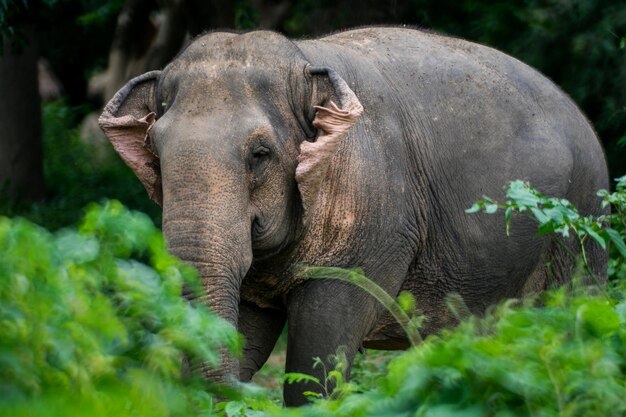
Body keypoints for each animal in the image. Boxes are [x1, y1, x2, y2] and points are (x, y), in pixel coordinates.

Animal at [97, 26, 604, 404]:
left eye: (260, 155)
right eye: (154, 150)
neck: (304, 58)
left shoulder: (376, 215)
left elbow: (315, 362)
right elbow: (249, 335)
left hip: (582, 219)